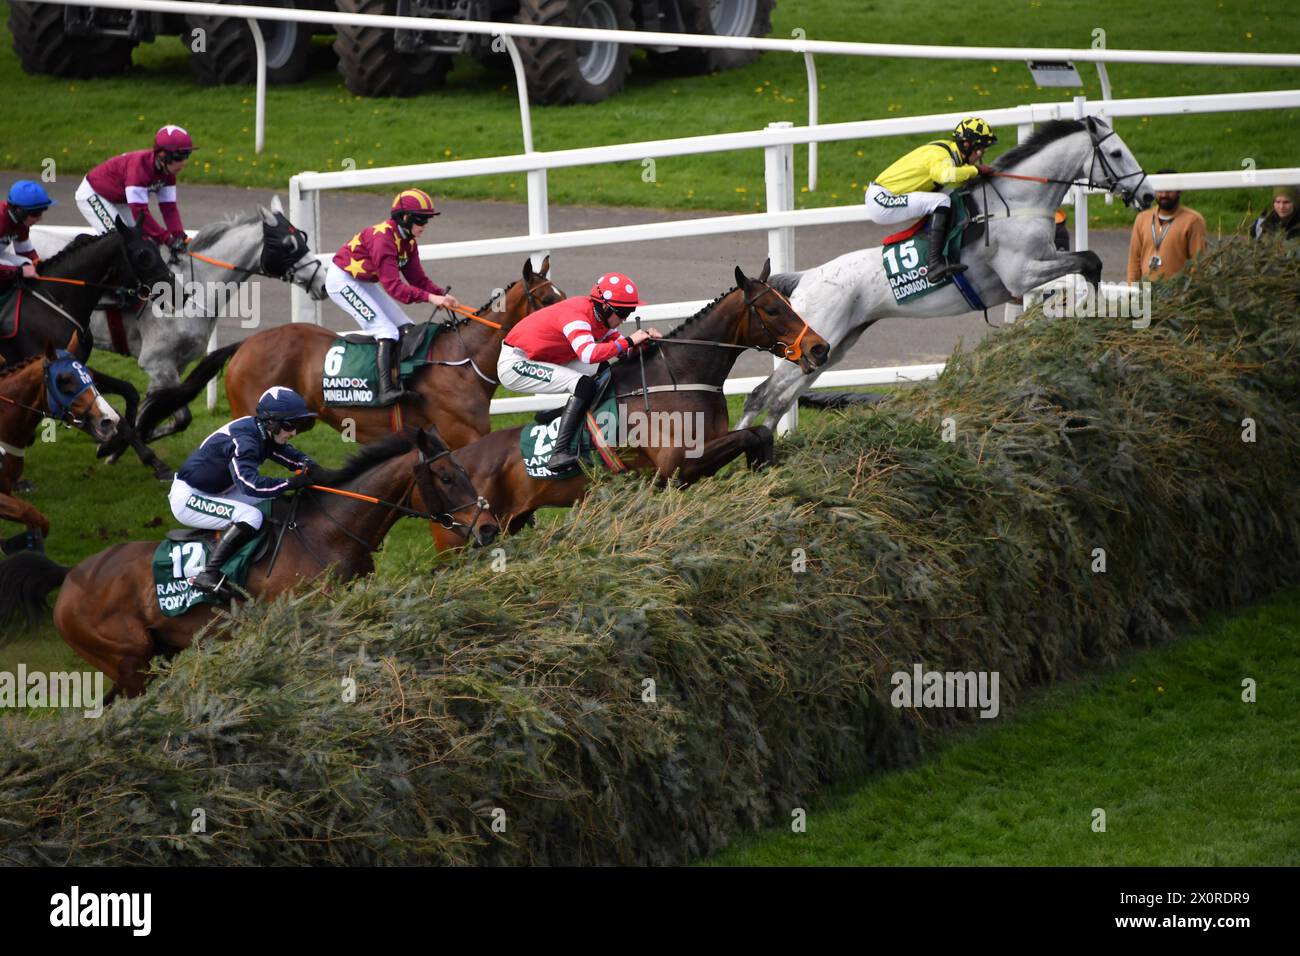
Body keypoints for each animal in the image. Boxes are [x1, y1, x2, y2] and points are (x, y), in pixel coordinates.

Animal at [0, 343, 120, 554]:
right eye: (64, 380)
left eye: (90, 375)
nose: (110, 420)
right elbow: (30, 513)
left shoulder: (6, 490)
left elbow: (38, 521)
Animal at [0, 426, 496, 697]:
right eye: (447, 476)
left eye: (465, 470)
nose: (488, 528)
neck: (328, 533)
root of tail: (70, 575)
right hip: (129, 661)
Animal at [447, 260, 832, 538]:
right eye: (771, 309)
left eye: (788, 303)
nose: (820, 347)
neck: (679, 377)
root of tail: (457, 460)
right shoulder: (678, 467)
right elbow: (753, 434)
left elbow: (759, 434)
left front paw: (764, 475)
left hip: (510, 523)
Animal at [738, 115, 1154, 426]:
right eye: (1117, 152)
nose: (1148, 194)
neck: (1016, 203)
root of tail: (804, 278)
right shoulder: (1021, 273)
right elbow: (1089, 262)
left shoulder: (1036, 266)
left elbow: (1087, 266)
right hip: (820, 335)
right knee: (761, 395)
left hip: (831, 347)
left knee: (778, 400)